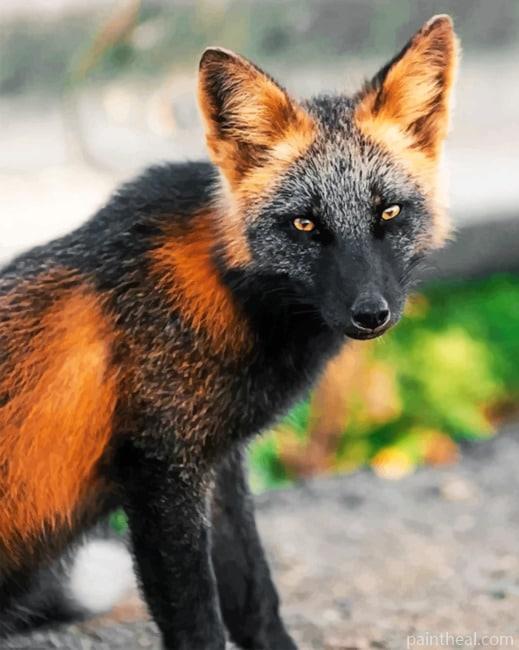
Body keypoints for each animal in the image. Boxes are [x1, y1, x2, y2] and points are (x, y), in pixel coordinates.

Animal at [0, 15, 459, 650]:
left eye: (388, 213)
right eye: (305, 225)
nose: (372, 313)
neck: (230, 293)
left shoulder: (219, 465)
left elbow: (256, 599)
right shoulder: (163, 473)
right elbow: (199, 621)